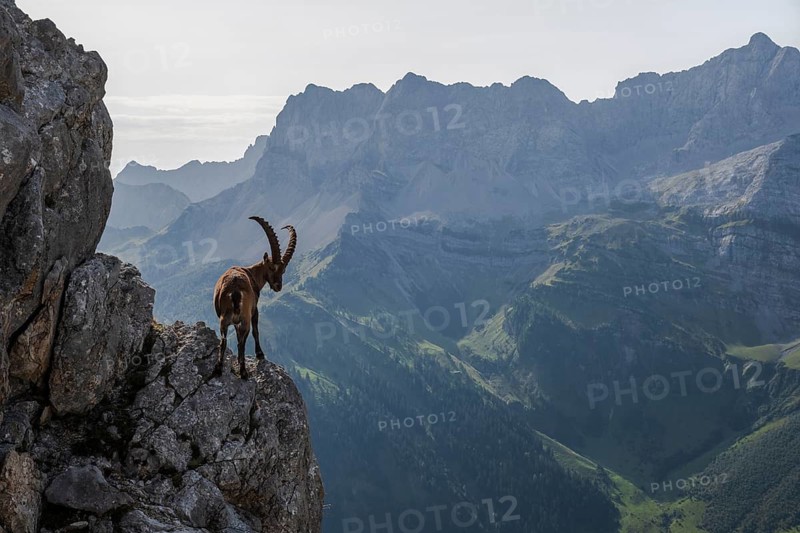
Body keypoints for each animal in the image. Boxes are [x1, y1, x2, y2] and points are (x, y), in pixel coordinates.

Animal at [212, 216, 296, 379]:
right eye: (271, 267)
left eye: (283, 270)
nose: (278, 286)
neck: (251, 273)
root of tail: (235, 289)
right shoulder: (255, 310)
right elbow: (256, 331)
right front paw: (260, 354)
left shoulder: (235, 321)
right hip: (245, 317)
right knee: (242, 340)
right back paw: (243, 372)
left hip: (224, 319)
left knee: (224, 341)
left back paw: (218, 369)